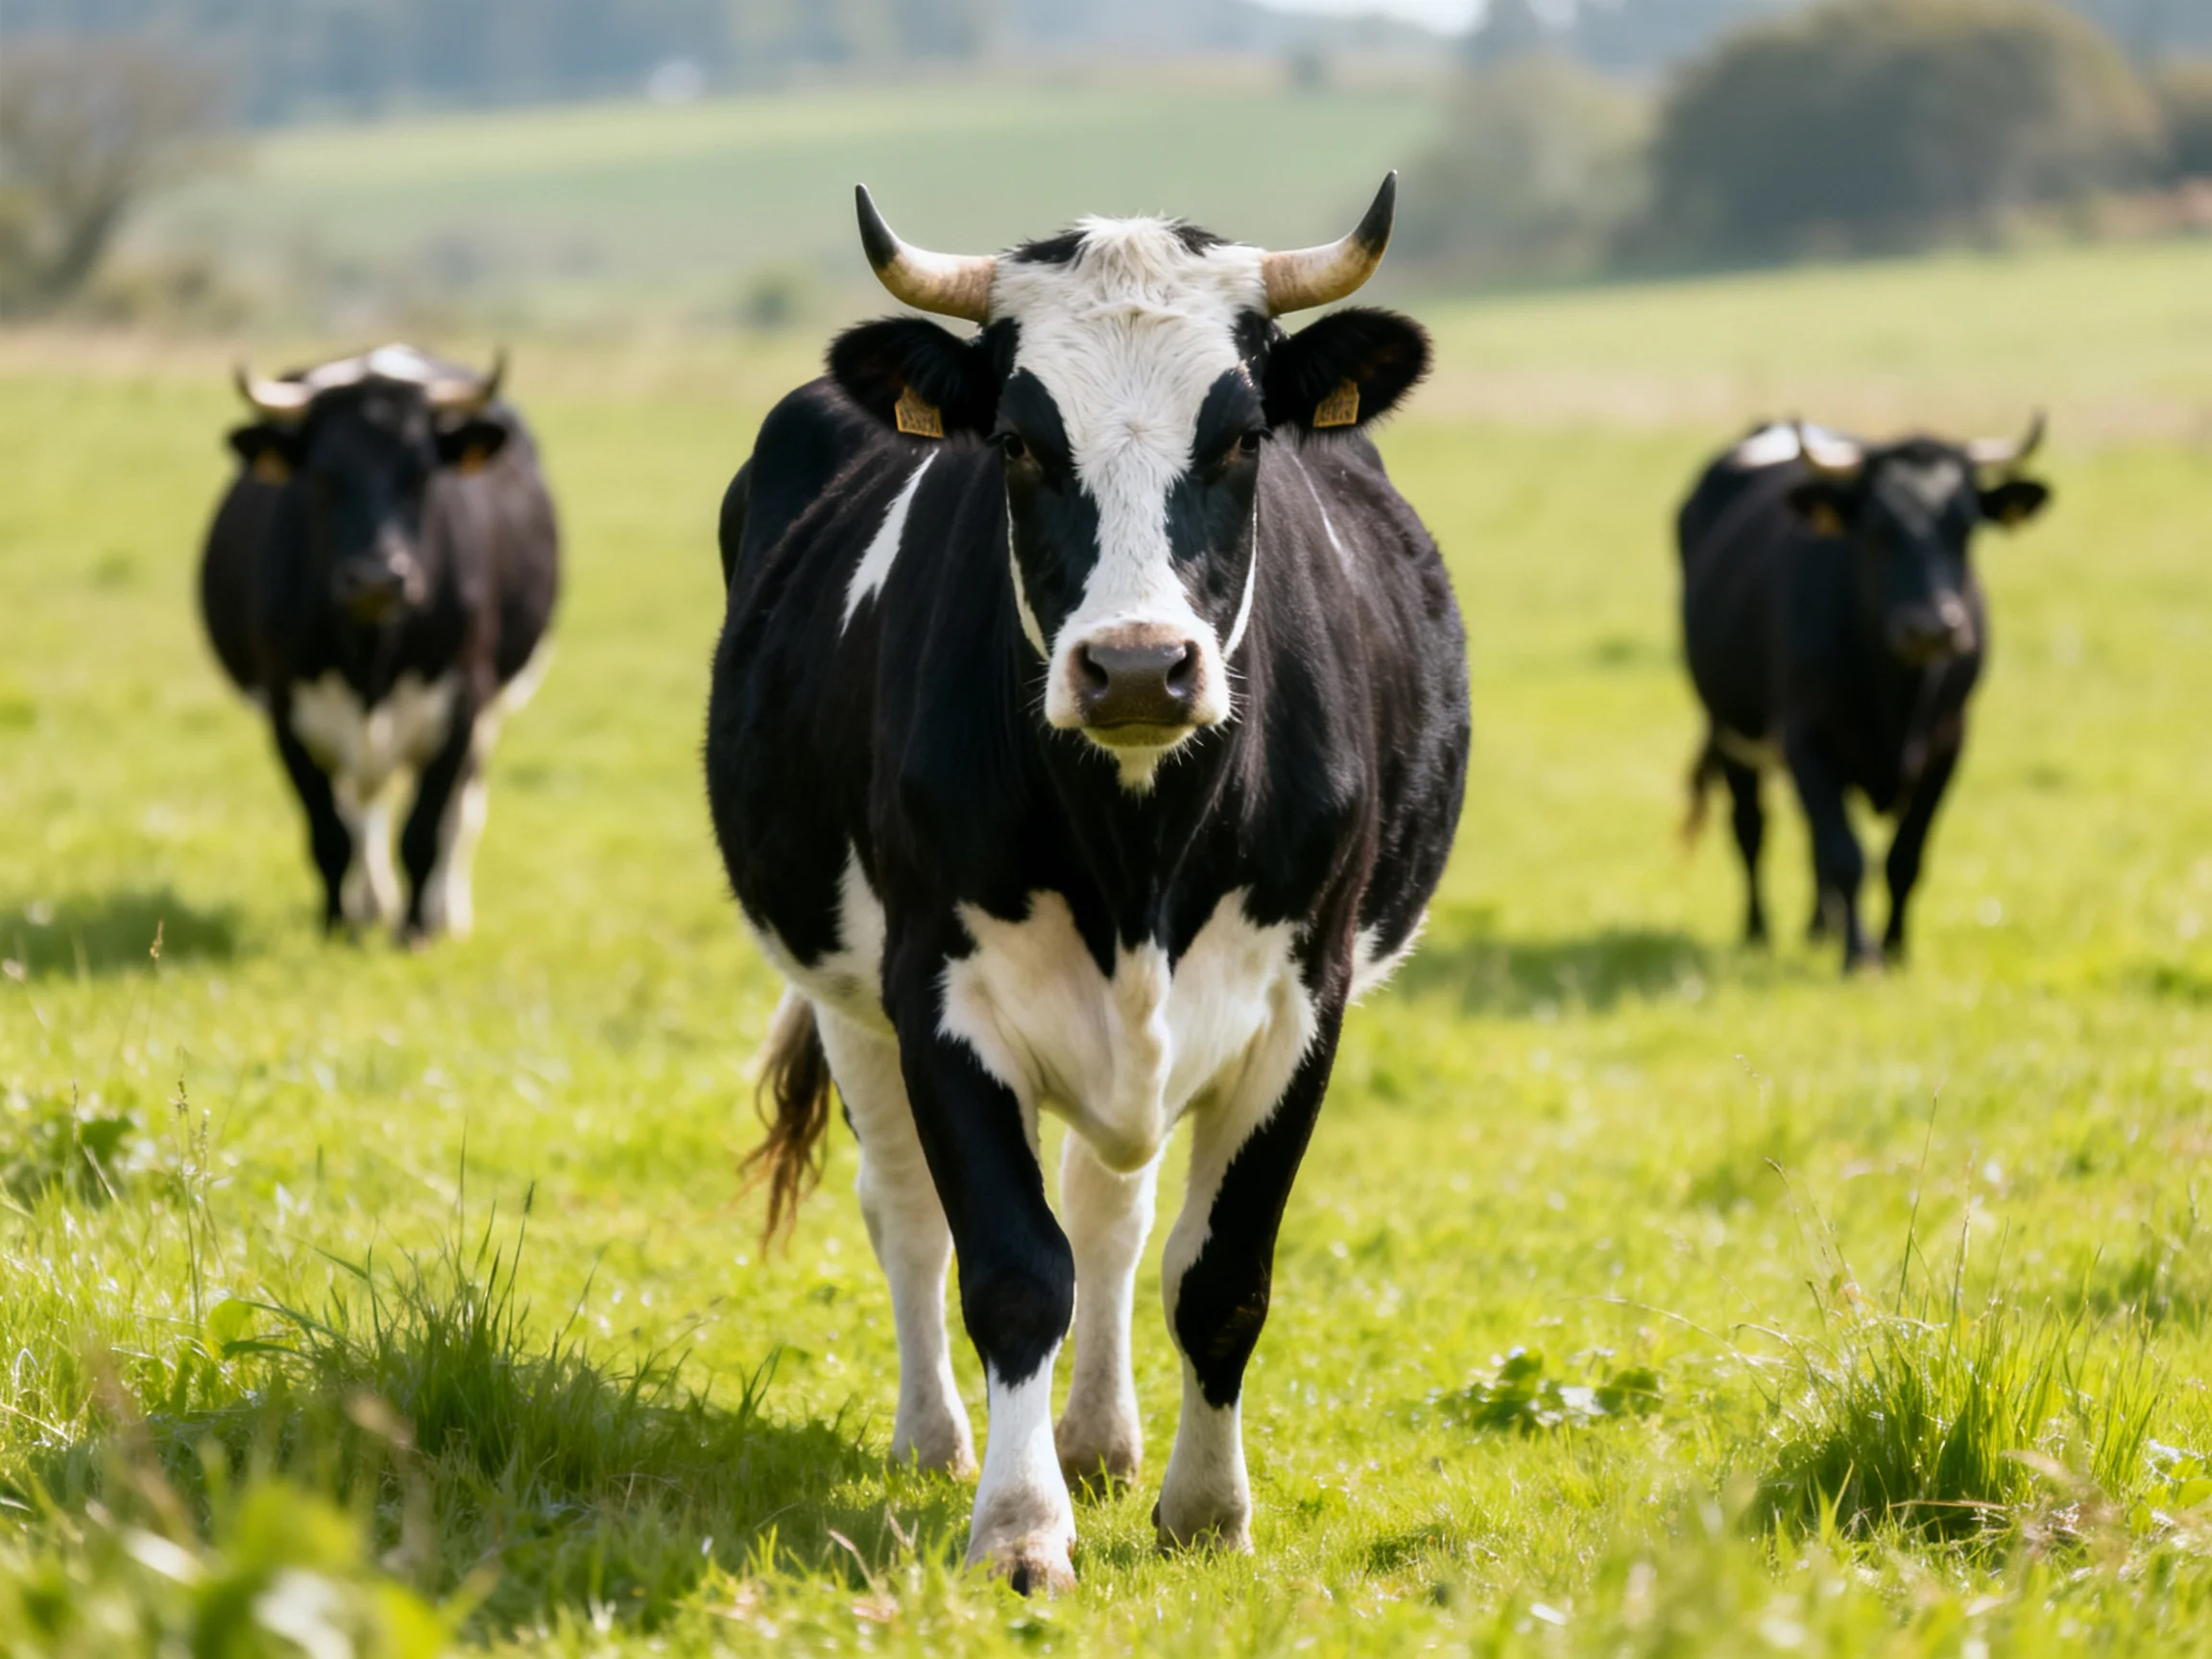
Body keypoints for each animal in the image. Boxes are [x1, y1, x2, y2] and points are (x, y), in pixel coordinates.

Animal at [199, 344, 559, 943]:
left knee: (462, 814)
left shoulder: (463, 703)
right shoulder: (286, 712)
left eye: (422, 475)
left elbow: (424, 832)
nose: (376, 577)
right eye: (322, 476)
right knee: (362, 807)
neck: (372, 653)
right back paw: (370, 906)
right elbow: (329, 835)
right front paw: (335, 925)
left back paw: (446, 914)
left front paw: (414, 933)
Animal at [704, 176, 1468, 1591]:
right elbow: (1012, 1269)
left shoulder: (1304, 1003)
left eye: (1242, 439)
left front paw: (1204, 1508)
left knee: (1112, 1213)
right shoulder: (937, 992)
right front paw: (1018, 1526)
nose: (1136, 667)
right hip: (841, 991)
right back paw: (935, 1439)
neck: (1138, 854)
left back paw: (1104, 1439)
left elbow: (1218, 1274)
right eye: (1013, 442)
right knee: (908, 1211)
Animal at [1679, 417, 2051, 971]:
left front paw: (1895, 949)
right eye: (1878, 529)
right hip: (1730, 730)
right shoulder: (1806, 738)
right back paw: (1758, 933)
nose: (1932, 628)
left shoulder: (1949, 744)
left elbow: (1904, 857)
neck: (1897, 697)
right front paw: (1861, 956)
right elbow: (1846, 855)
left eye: (1965, 528)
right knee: (1751, 829)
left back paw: (1819, 928)